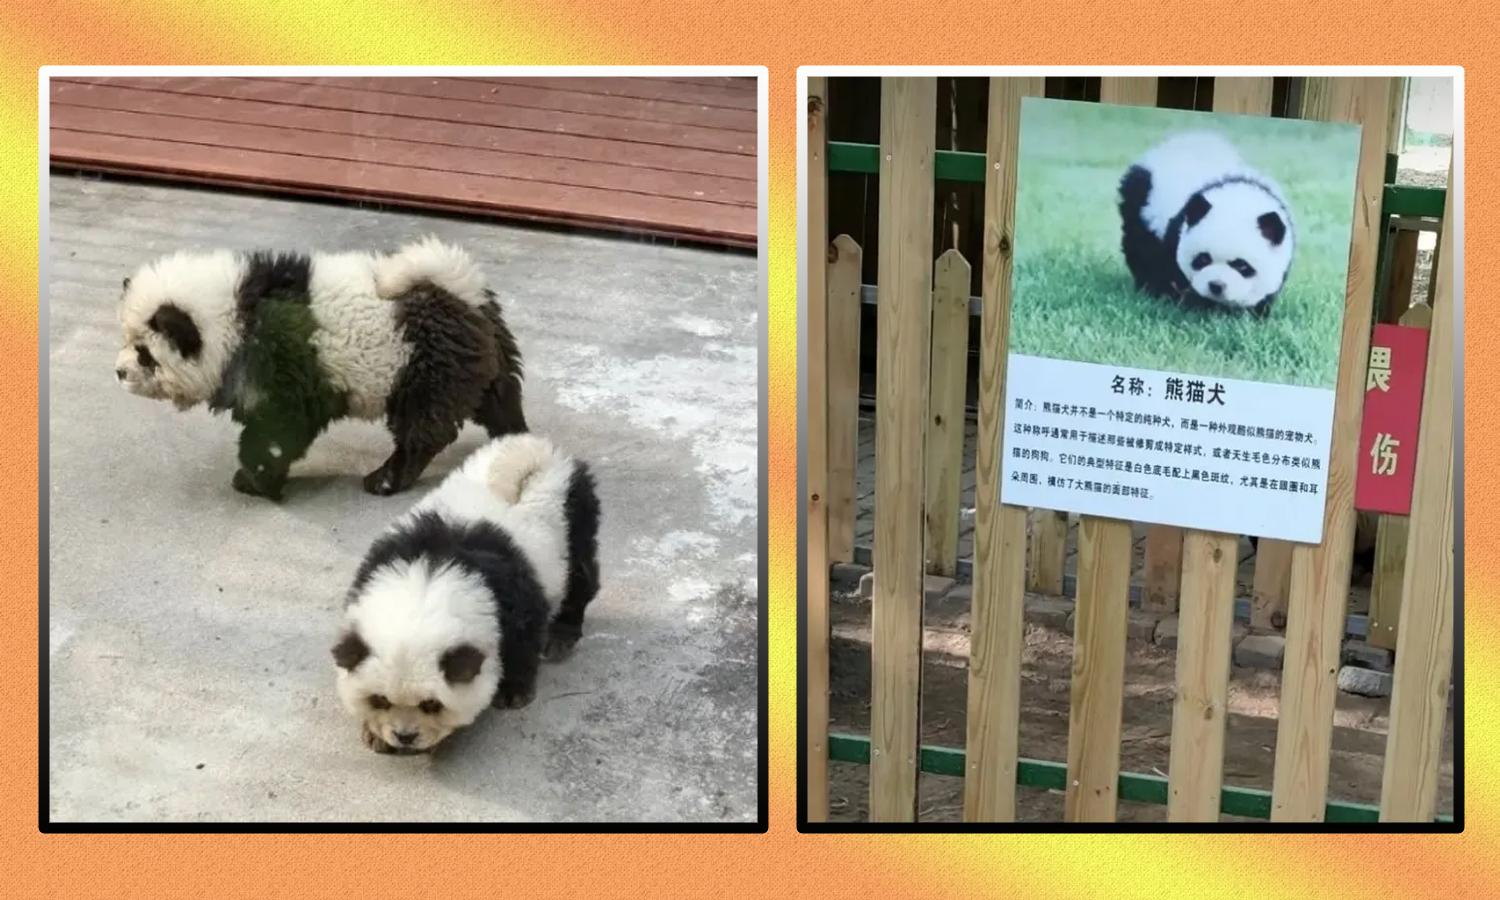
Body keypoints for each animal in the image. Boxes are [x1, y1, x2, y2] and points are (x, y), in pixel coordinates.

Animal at [112, 235, 522, 504]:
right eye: (126, 341)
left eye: (144, 353)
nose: (119, 372)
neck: (232, 314)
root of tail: (460, 287)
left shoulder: (281, 370)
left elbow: (277, 431)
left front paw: (256, 481)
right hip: (486, 354)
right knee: (500, 397)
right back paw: (513, 436)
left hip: (423, 364)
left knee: (421, 428)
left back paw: (386, 479)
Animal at [331, 435, 600, 753]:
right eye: (380, 699)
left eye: (431, 705)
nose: (405, 737)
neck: (427, 584)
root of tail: (543, 451)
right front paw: (373, 733)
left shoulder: (513, 596)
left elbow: (522, 639)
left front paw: (513, 692)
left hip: (575, 516)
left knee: (580, 576)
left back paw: (561, 636)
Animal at [1122, 132, 1296, 316]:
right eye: (1203, 259)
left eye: (1242, 266)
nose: (1216, 286)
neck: (1239, 200)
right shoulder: (1175, 235)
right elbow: (1173, 272)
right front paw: (1194, 306)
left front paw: (1252, 313)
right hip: (1142, 203)